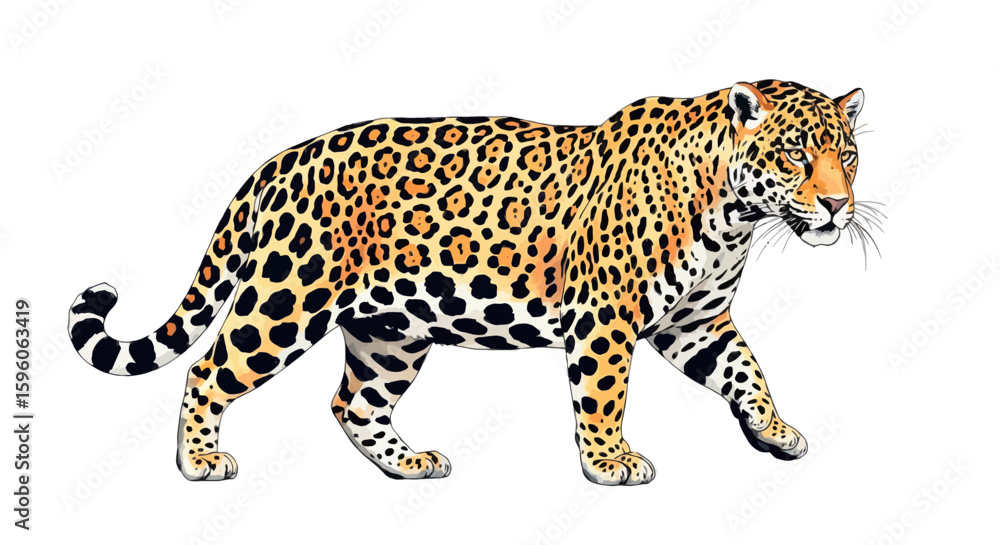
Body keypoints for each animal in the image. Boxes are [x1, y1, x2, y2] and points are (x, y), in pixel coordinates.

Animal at [68, 80, 867, 485]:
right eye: (796, 155)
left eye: (849, 154)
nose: (838, 204)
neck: (732, 212)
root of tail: (279, 161)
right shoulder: (606, 319)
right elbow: (604, 397)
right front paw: (610, 463)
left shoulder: (694, 323)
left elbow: (748, 372)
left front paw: (776, 433)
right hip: (287, 300)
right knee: (209, 369)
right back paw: (199, 460)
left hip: (390, 333)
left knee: (352, 402)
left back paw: (411, 464)